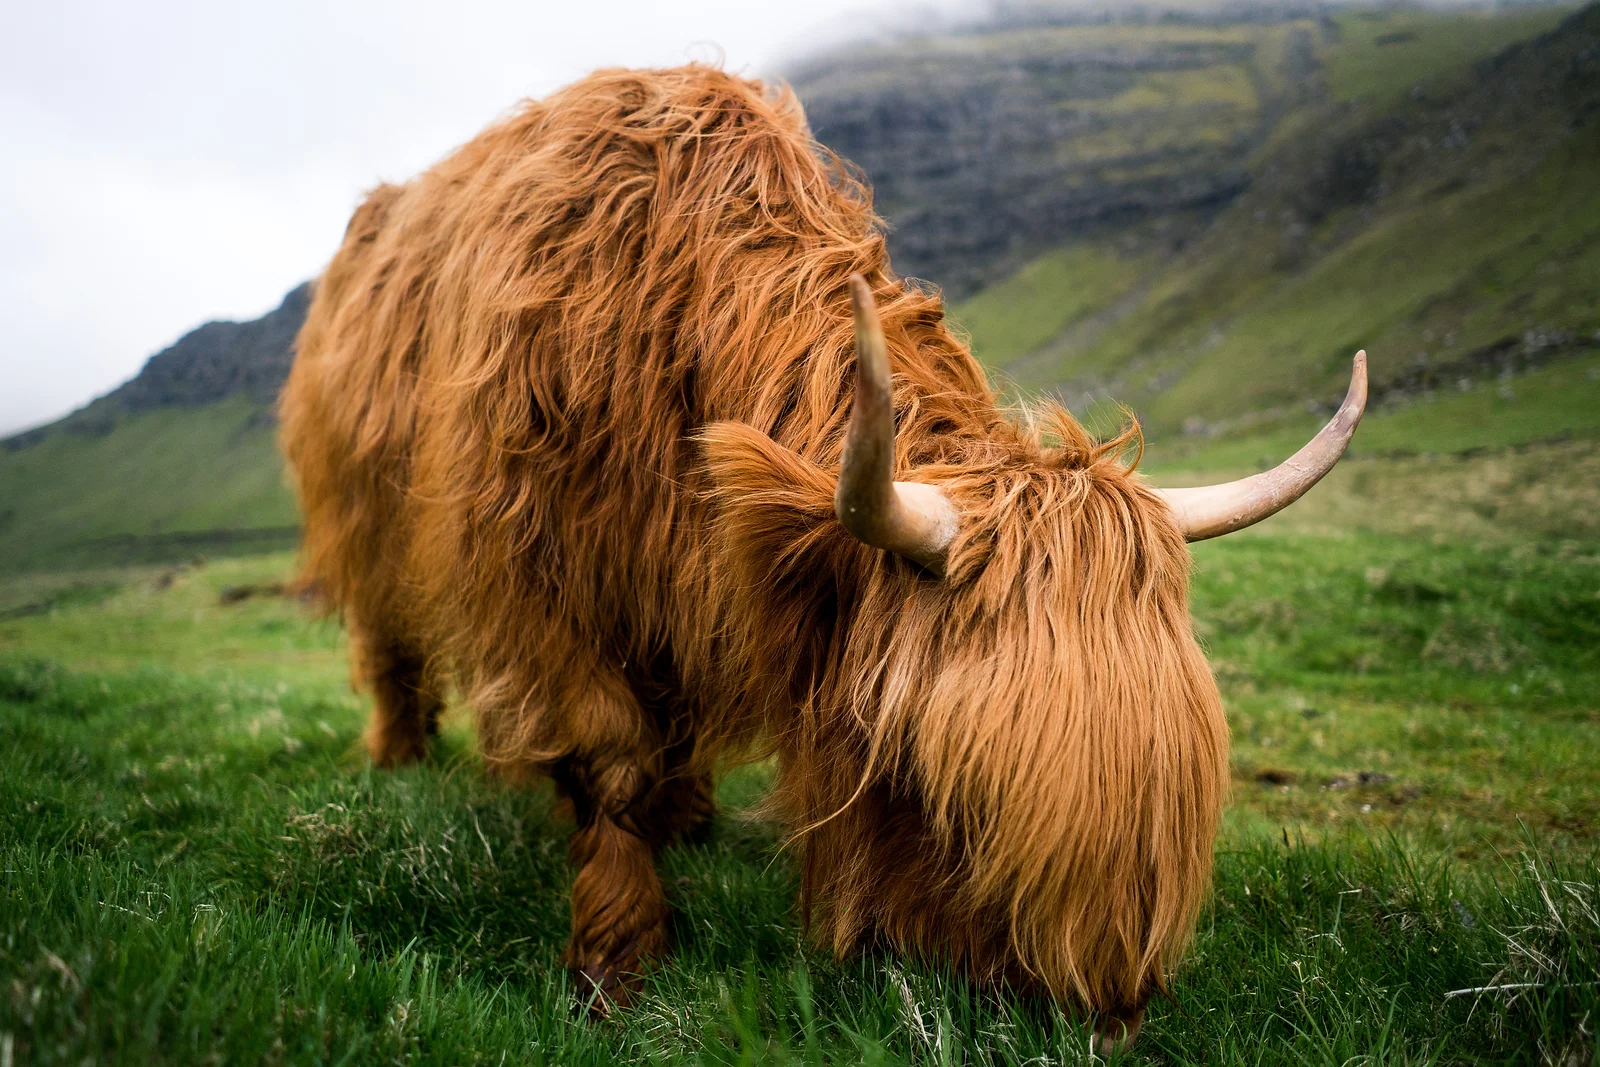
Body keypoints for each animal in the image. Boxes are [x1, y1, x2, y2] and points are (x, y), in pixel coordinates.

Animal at [279, 64, 1365, 1051]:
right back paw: (400, 758)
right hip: (363, 517)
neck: (671, 306)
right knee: (390, 646)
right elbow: (605, 759)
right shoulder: (543, 578)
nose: (1102, 1018)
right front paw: (615, 961)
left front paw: (679, 828)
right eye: (939, 790)